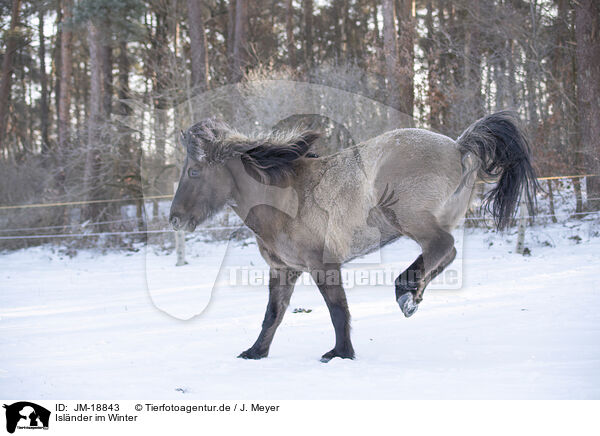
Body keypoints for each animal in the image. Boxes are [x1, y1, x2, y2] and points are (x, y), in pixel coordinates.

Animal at [169, 110, 540, 362]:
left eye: (194, 171)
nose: (175, 220)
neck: (282, 198)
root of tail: (460, 147)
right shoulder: (284, 270)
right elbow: (273, 314)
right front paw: (255, 352)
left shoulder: (323, 265)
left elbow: (337, 310)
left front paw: (340, 353)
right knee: (441, 255)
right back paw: (411, 294)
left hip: (410, 220)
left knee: (442, 248)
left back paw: (405, 293)